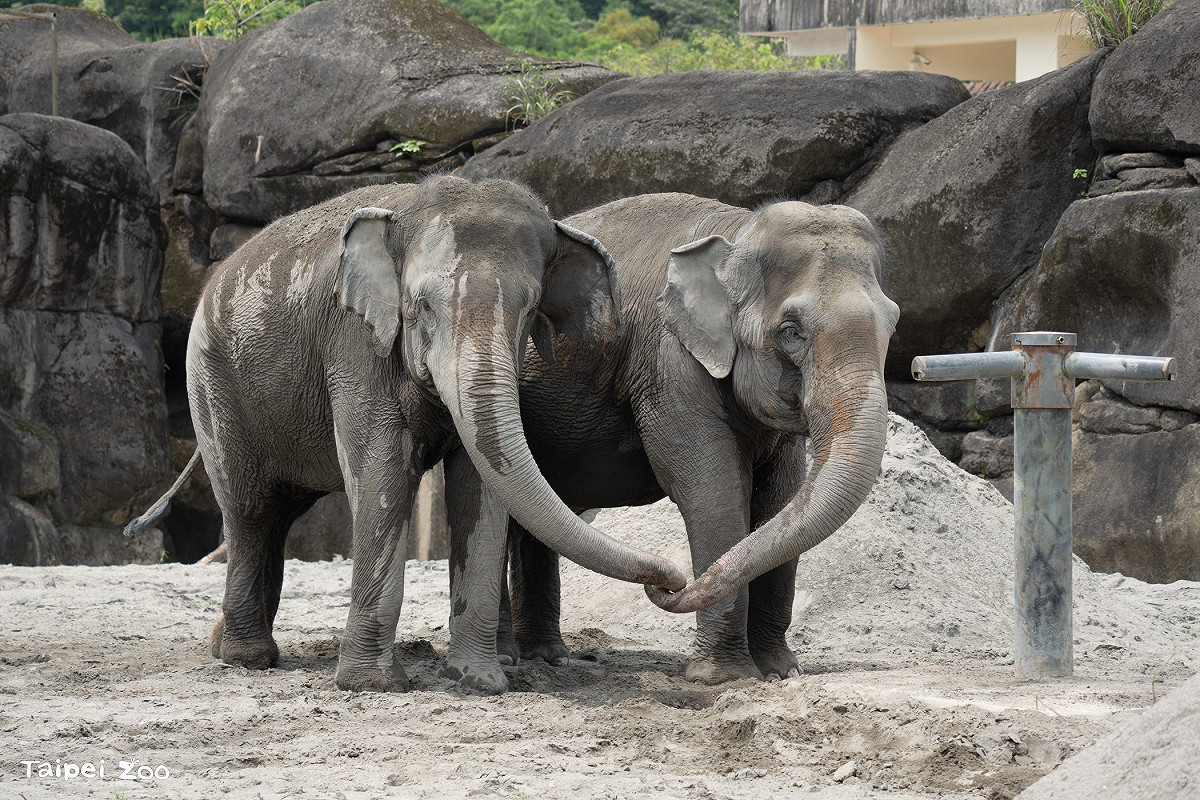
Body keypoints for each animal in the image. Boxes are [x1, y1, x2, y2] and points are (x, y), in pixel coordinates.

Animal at [132, 177, 686, 694]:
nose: (673, 582)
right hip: (213, 386)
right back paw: (248, 659)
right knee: (251, 510)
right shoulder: (354, 341)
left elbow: (480, 487)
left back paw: (226, 643)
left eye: (530, 311)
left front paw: (479, 681)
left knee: (278, 512)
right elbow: (382, 472)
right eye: (422, 306)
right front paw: (373, 685)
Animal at [449, 192, 898, 683]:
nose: (670, 583)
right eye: (791, 331)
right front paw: (724, 677)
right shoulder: (670, 363)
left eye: (893, 323)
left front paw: (781, 672)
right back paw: (509, 658)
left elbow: (782, 498)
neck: (738, 229)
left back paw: (548, 656)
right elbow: (712, 491)